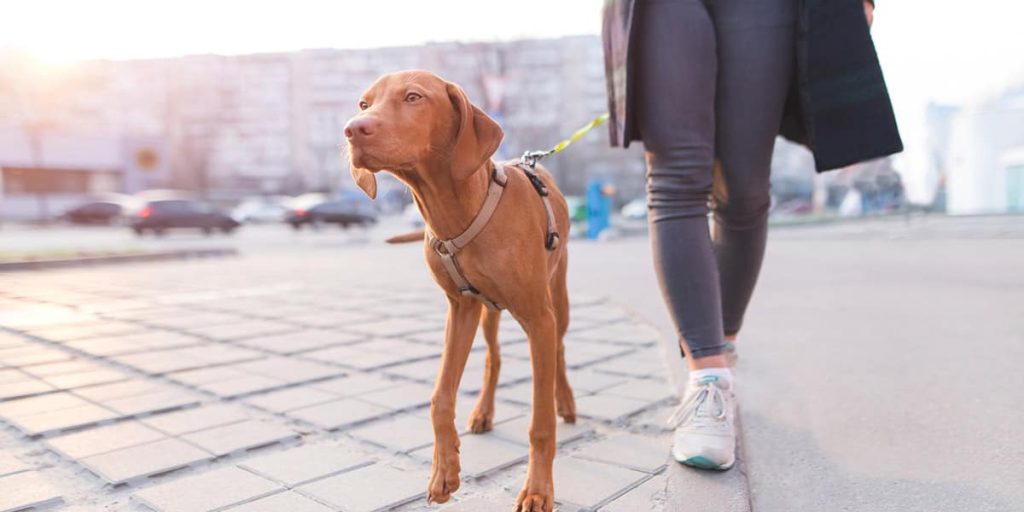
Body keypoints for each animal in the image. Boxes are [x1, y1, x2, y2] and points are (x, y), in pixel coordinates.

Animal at [346, 71, 577, 512]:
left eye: (413, 97)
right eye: (364, 104)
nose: (352, 129)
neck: (459, 213)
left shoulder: (538, 318)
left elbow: (539, 423)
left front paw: (538, 490)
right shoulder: (460, 308)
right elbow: (440, 397)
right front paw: (444, 472)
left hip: (558, 299)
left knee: (558, 349)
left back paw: (566, 401)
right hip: (489, 313)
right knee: (493, 358)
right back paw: (484, 412)